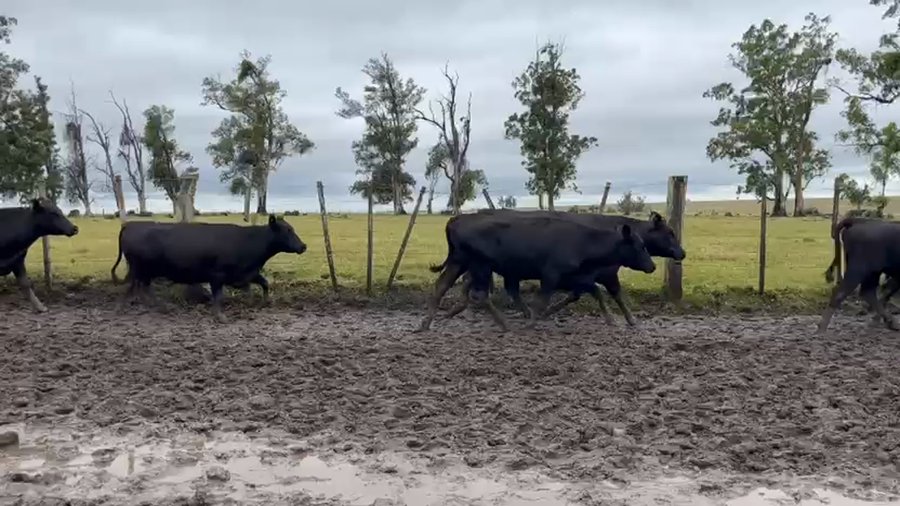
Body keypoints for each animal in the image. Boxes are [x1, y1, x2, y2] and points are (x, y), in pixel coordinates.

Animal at [111, 215, 306, 322]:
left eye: (292, 229)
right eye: (287, 231)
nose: (303, 246)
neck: (247, 240)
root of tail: (130, 225)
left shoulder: (247, 273)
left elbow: (264, 283)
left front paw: (263, 302)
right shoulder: (217, 275)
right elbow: (218, 296)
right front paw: (220, 316)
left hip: (144, 271)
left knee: (141, 288)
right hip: (140, 268)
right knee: (136, 287)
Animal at [416, 212, 657, 332]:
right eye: (640, 246)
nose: (653, 266)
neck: (582, 241)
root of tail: (456, 219)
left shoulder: (576, 278)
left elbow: (596, 291)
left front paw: (611, 320)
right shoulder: (551, 275)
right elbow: (541, 300)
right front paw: (532, 322)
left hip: (459, 263)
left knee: (441, 286)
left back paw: (425, 324)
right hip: (480, 266)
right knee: (480, 294)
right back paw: (505, 324)